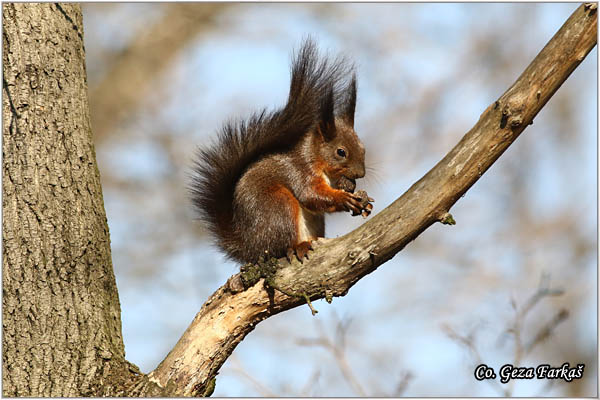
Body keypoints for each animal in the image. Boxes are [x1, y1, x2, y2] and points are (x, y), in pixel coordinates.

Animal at [190, 39, 372, 264]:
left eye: (363, 148)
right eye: (341, 152)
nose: (360, 174)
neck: (317, 159)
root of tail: (250, 248)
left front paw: (357, 192)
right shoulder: (299, 171)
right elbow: (311, 195)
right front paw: (344, 198)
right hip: (278, 207)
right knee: (281, 245)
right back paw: (298, 246)